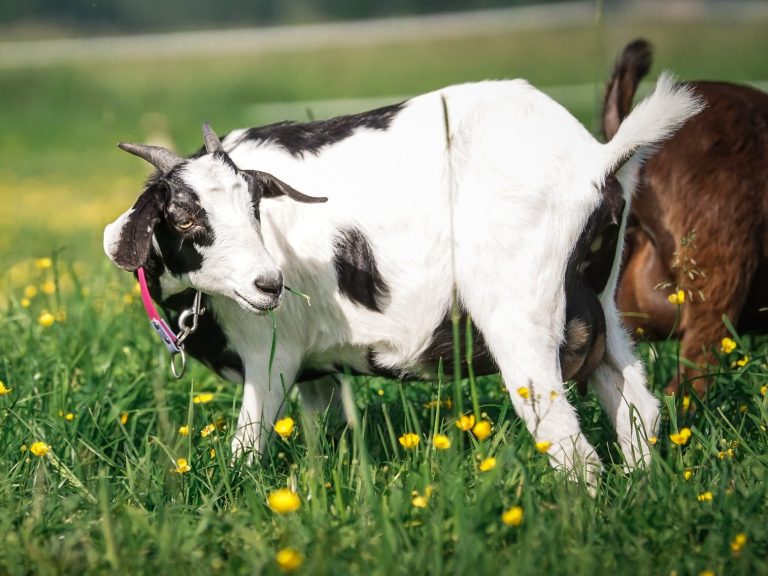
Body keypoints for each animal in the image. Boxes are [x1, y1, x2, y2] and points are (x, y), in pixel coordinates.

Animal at [104, 75, 701, 484]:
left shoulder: (271, 353)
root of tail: (598, 161)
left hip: (523, 315)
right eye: (183, 216)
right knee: (637, 409)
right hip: (601, 309)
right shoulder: (316, 365)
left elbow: (246, 449)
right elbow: (321, 430)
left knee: (569, 445)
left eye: (254, 205)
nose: (268, 284)